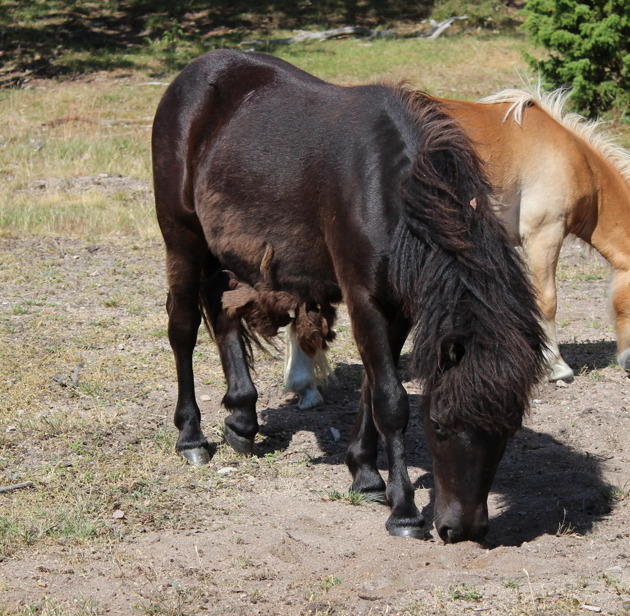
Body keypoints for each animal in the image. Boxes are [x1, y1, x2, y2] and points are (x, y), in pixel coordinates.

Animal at [152, 53, 548, 544]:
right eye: (438, 424)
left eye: (509, 430)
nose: (462, 529)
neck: (388, 189)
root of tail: (193, 74)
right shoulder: (366, 298)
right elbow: (391, 401)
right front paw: (404, 512)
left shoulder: (398, 308)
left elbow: (371, 389)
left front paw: (366, 474)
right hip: (181, 237)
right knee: (183, 327)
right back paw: (191, 437)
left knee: (222, 311)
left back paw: (243, 418)